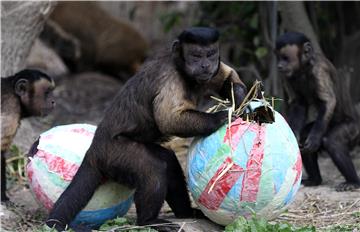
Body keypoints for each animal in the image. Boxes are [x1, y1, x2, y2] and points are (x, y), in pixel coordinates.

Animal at [44, 26, 248, 230]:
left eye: (211, 54)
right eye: (196, 56)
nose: (205, 65)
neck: (185, 74)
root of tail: (94, 150)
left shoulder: (208, 75)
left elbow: (227, 77)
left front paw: (242, 100)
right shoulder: (171, 79)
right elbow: (168, 120)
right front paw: (221, 117)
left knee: (168, 162)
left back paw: (186, 213)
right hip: (115, 153)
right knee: (153, 169)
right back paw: (148, 221)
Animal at [276, 32, 360, 192]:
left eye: (285, 58)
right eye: (278, 57)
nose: (279, 65)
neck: (304, 69)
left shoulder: (319, 70)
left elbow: (328, 102)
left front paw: (314, 139)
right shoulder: (287, 76)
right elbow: (298, 104)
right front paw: (293, 135)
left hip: (353, 129)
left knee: (332, 141)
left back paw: (353, 182)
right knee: (304, 137)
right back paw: (315, 180)